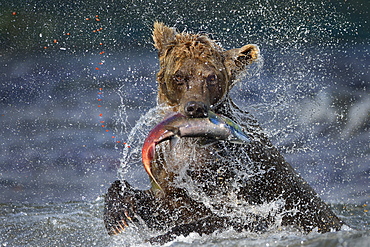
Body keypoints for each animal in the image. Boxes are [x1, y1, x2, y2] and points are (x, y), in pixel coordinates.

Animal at [102, 22, 344, 243]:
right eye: (180, 76)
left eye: (211, 77)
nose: (195, 107)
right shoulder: (168, 172)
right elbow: (159, 203)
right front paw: (118, 216)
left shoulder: (242, 181)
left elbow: (227, 217)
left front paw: (160, 236)